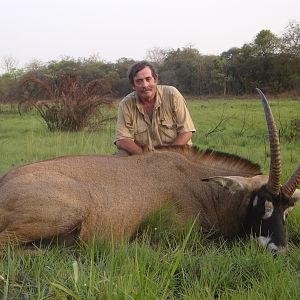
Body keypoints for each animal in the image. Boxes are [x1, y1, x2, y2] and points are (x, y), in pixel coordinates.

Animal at [0, 88, 298, 252]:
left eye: (287, 211)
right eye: (262, 205)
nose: (278, 250)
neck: (204, 186)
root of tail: (4, 182)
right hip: (68, 212)